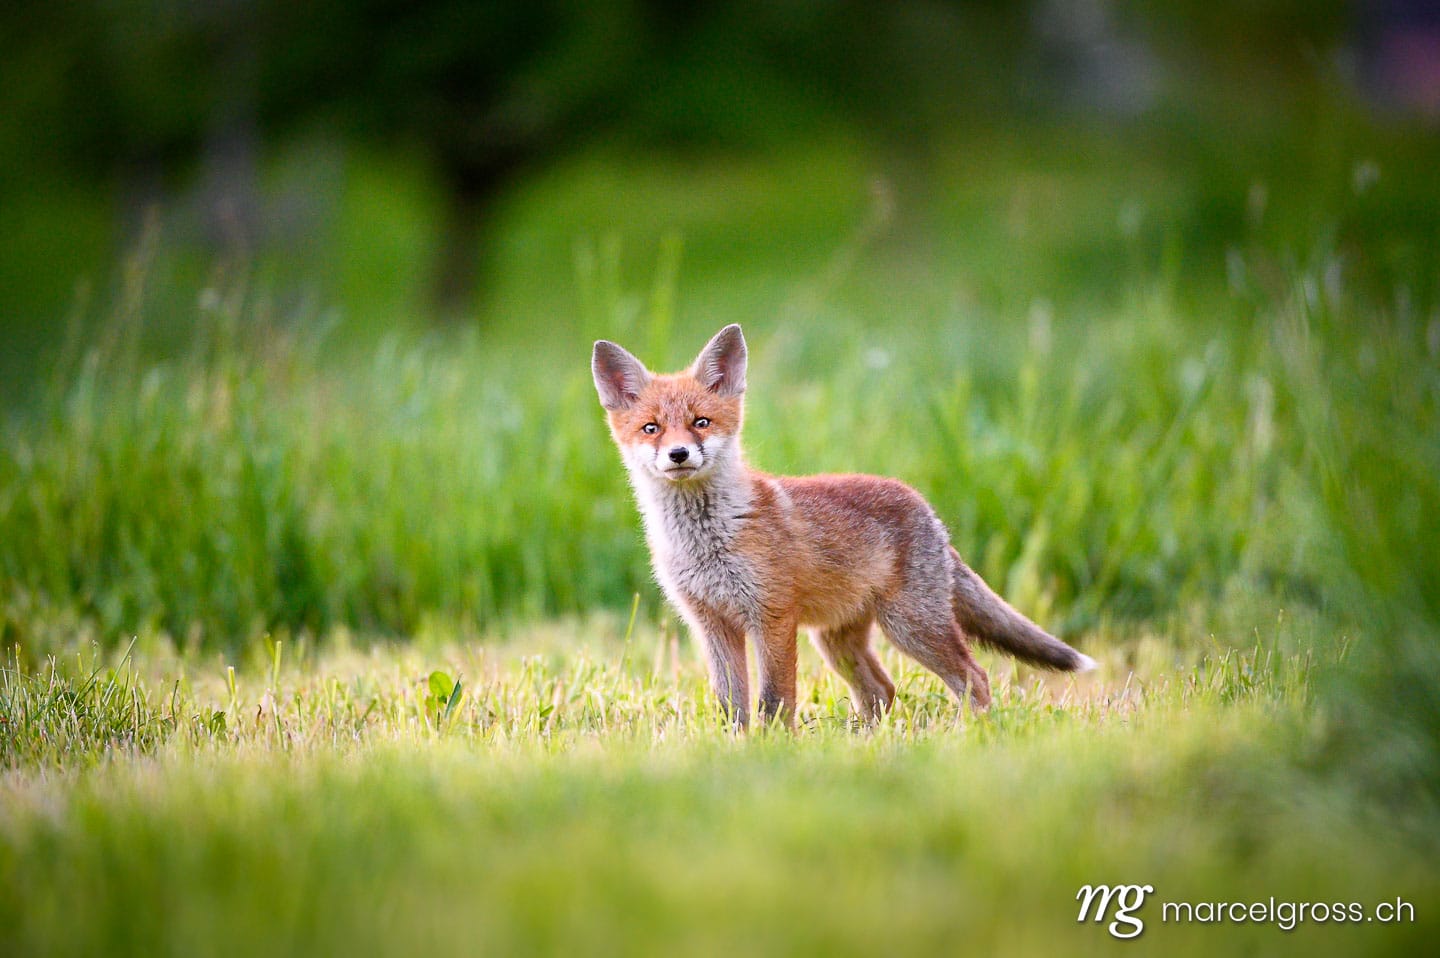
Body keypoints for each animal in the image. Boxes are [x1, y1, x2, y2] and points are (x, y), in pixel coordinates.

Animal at [591, 323, 1095, 729]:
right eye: (652, 428)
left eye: (701, 422)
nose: (678, 454)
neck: (707, 540)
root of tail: (928, 512)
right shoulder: (713, 625)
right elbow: (732, 705)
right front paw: (735, 748)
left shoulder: (772, 616)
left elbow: (774, 700)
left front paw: (773, 750)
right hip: (837, 641)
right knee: (883, 691)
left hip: (911, 627)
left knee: (976, 677)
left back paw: (969, 735)